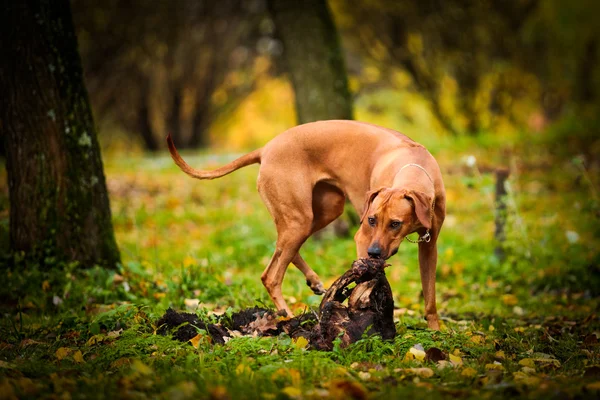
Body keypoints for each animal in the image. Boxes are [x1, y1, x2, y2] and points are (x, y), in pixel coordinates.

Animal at [166, 119, 442, 328]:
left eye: (395, 224)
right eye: (372, 220)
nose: (374, 253)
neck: (413, 166)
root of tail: (265, 149)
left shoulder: (429, 245)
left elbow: (429, 297)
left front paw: (435, 332)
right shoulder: (363, 237)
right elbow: (365, 280)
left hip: (322, 211)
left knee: (281, 249)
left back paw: (312, 281)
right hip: (300, 218)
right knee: (271, 276)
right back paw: (287, 316)